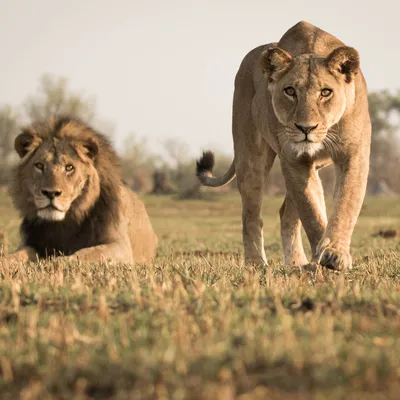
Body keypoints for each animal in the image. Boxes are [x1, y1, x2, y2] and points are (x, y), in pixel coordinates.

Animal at [1, 116, 158, 266]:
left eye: (69, 167)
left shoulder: (120, 246)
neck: (65, 222)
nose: (51, 193)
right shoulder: (33, 242)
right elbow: (18, 254)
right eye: (39, 165)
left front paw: (56, 262)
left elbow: (88, 253)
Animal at [197, 21, 372, 272]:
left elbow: (346, 203)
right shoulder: (294, 160)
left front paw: (333, 254)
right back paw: (256, 264)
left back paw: (297, 263)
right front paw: (323, 256)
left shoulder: (353, 154)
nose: (306, 128)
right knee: (251, 214)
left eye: (325, 92)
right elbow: (311, 212)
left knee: (287, 213)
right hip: (250, 157)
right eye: (290, 91)